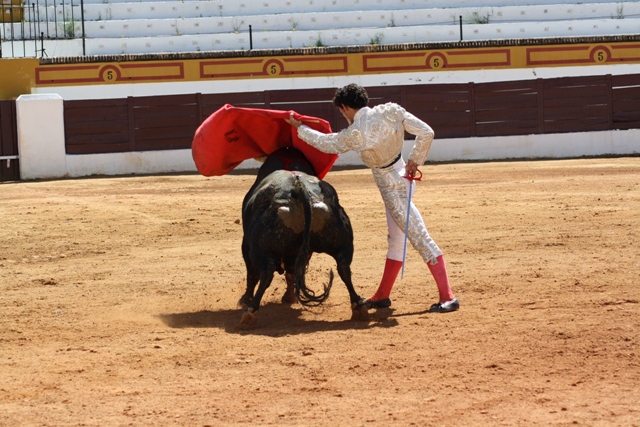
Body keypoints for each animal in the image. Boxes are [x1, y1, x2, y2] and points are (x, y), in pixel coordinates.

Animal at [239, 147, 370, 328]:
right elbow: (293, 273)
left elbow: (253, 274)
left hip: (260, 249)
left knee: (265, 274)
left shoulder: (247, 245)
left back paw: (250, 312)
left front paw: (245, 299)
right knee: (344, 269)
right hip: (342, 241)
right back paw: (358, 306)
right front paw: (289, 297)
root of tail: (299, 188)